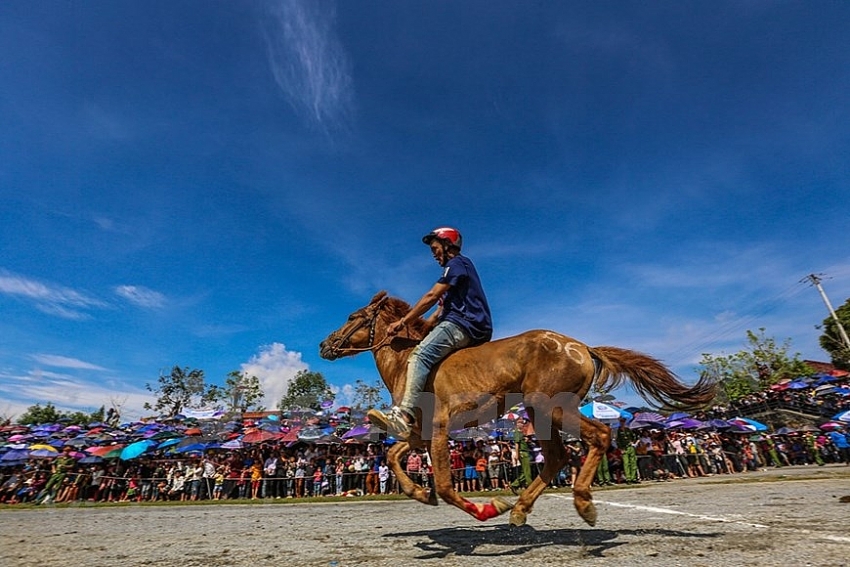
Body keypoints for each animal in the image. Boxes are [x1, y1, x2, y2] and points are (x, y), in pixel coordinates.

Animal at [319, 291, 716, 527]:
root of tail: (583, 347)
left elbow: (445, 485)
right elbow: (393, 457)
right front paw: (420, 493)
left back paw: (582, 502)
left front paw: (486, 508)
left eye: (353, 316)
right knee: (557, 458)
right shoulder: (417, 434)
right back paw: (521, 509)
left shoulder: (439, 428)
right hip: (541, 414)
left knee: (598, 437)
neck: (407, 361)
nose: (325, 344)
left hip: (551, 407)